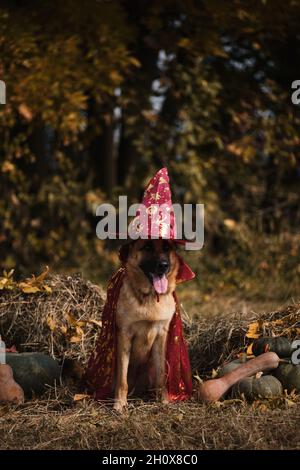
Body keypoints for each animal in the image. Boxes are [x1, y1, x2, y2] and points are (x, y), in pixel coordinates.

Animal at [113, 239, 179, 412]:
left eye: (167, 247)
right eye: (147, 247)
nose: (163, 265)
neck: (150, 296)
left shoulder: (161, 336)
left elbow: (161, 375)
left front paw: (163, 400)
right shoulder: (124, 335)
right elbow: (122, 380)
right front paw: (119, 403)